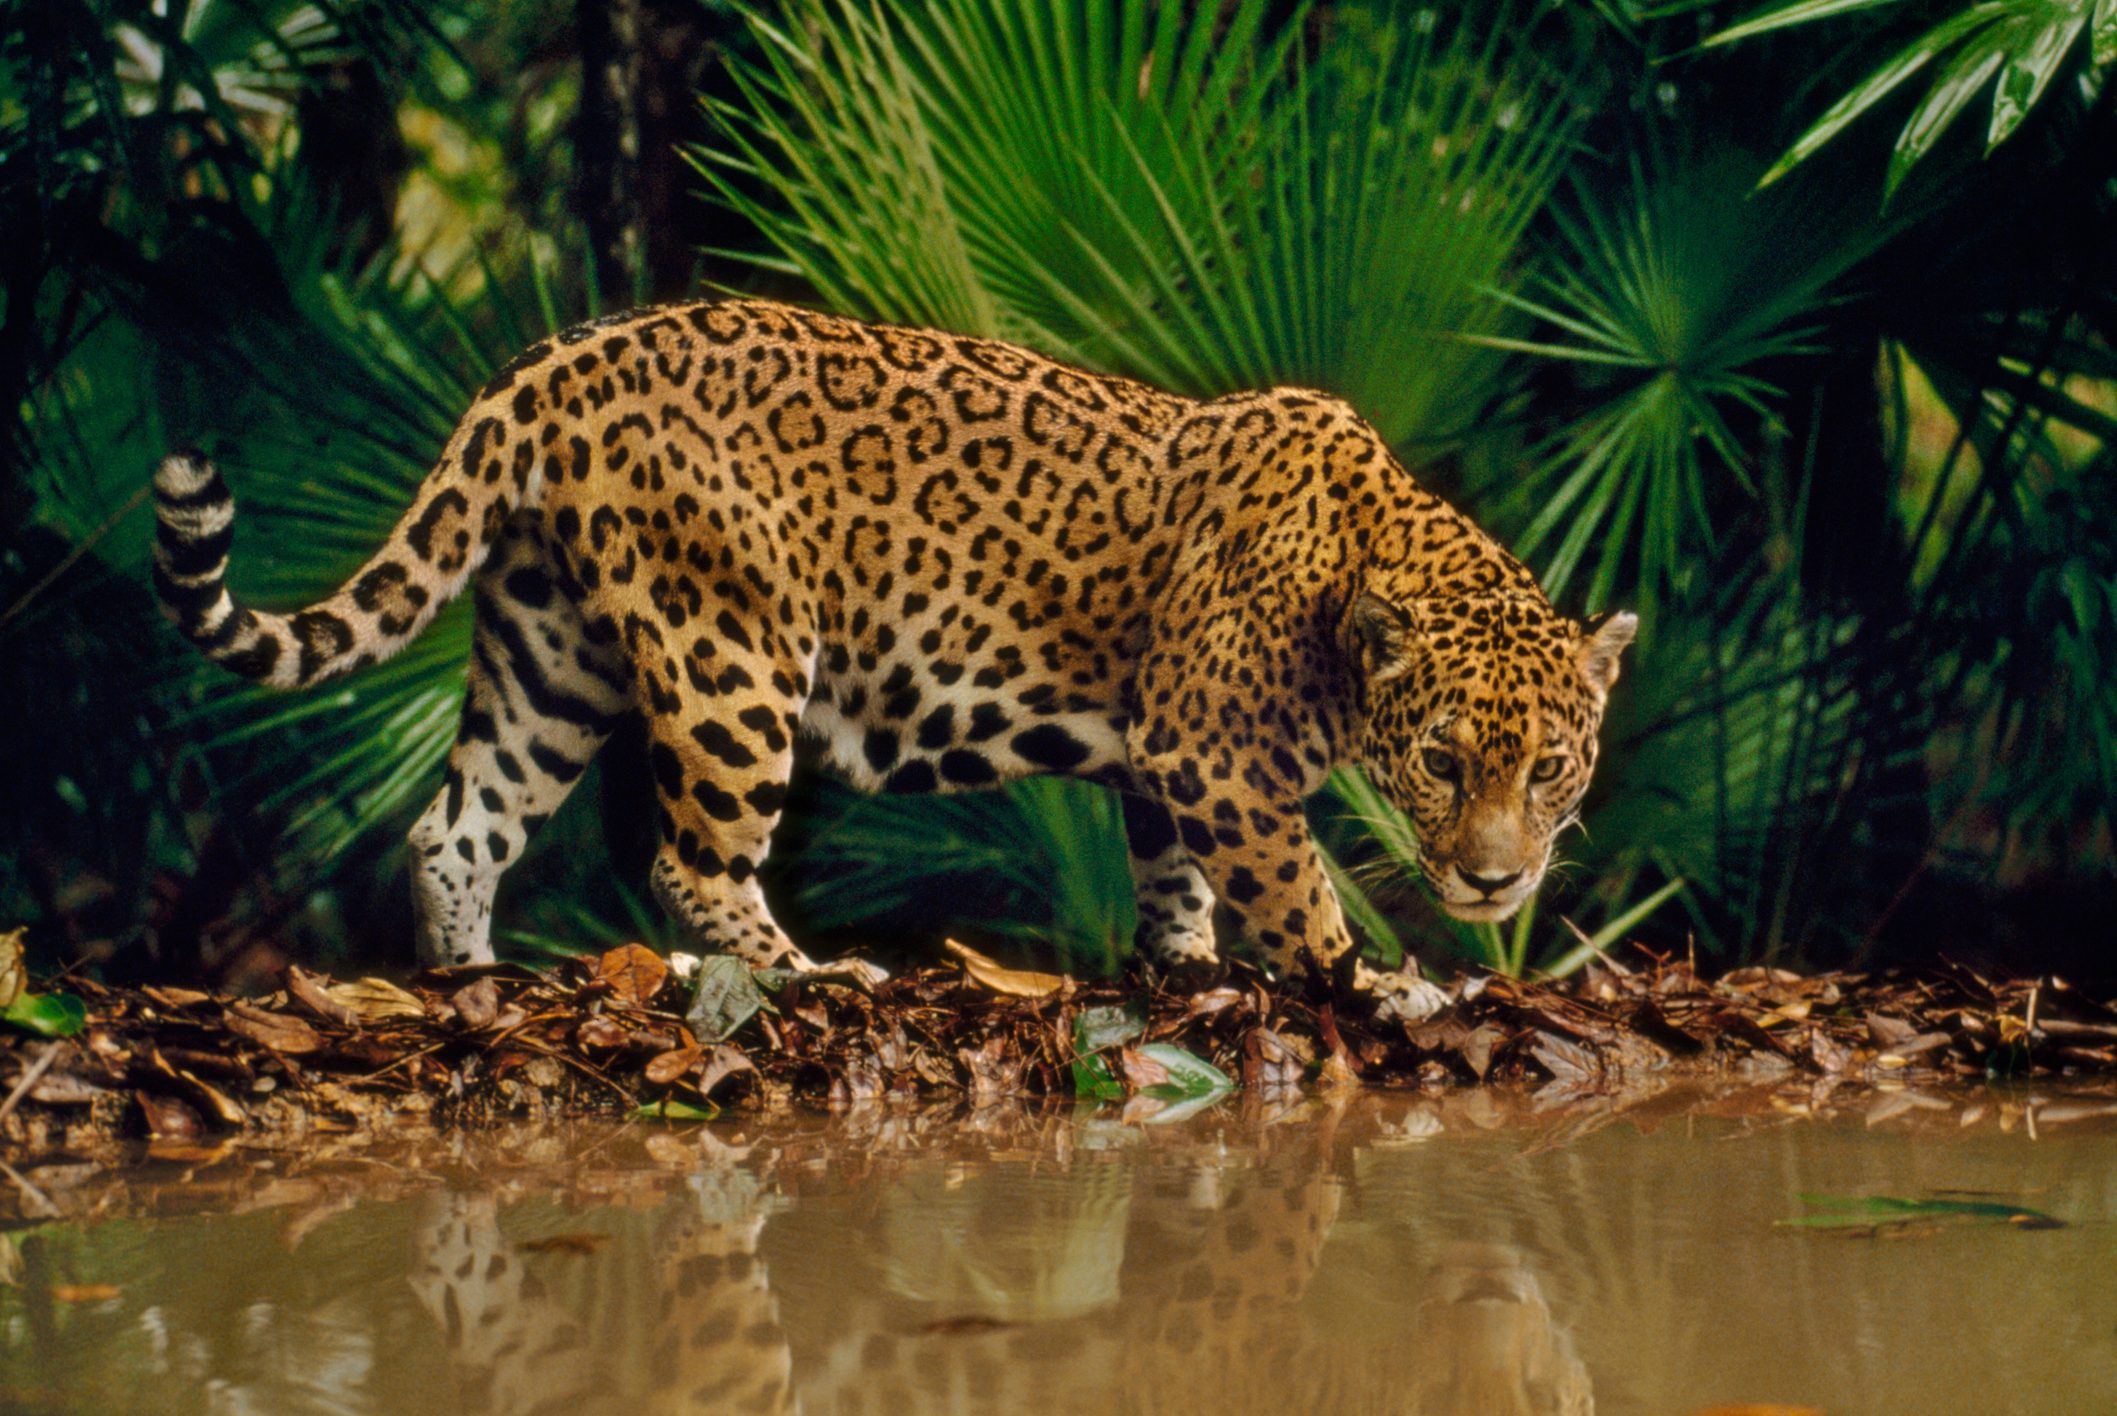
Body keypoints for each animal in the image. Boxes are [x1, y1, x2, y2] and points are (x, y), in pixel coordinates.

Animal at [151, 297, 1636, 1021]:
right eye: (1442, 761)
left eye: (1550, 768)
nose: (1492, 882)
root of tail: (555, 360)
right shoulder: (1218, 761)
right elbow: (1296, 891)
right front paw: (1374, 980)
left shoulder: (1164, 761)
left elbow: (1173, 883)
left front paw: (1182, 968)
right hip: (729, 648)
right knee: (688, 858)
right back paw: (815, 975)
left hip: (548, 646)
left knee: (456, 827)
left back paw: (469, 985)